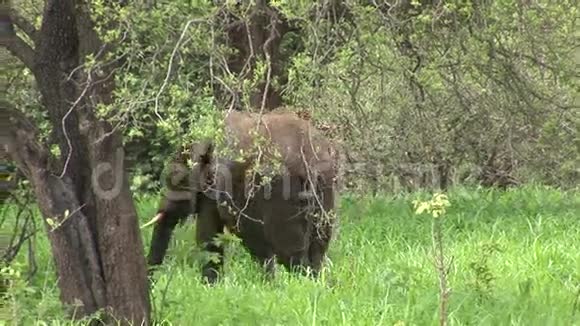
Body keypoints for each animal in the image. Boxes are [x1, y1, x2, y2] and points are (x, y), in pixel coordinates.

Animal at [142, 109, 340, 282]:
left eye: (177, 180)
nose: (152, 284)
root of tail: (310, 160)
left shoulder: (217, 186)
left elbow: (209, 237)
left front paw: (210, 286)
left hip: (283, 193)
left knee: (289, 251)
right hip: (326, 190)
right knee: (318, 247)